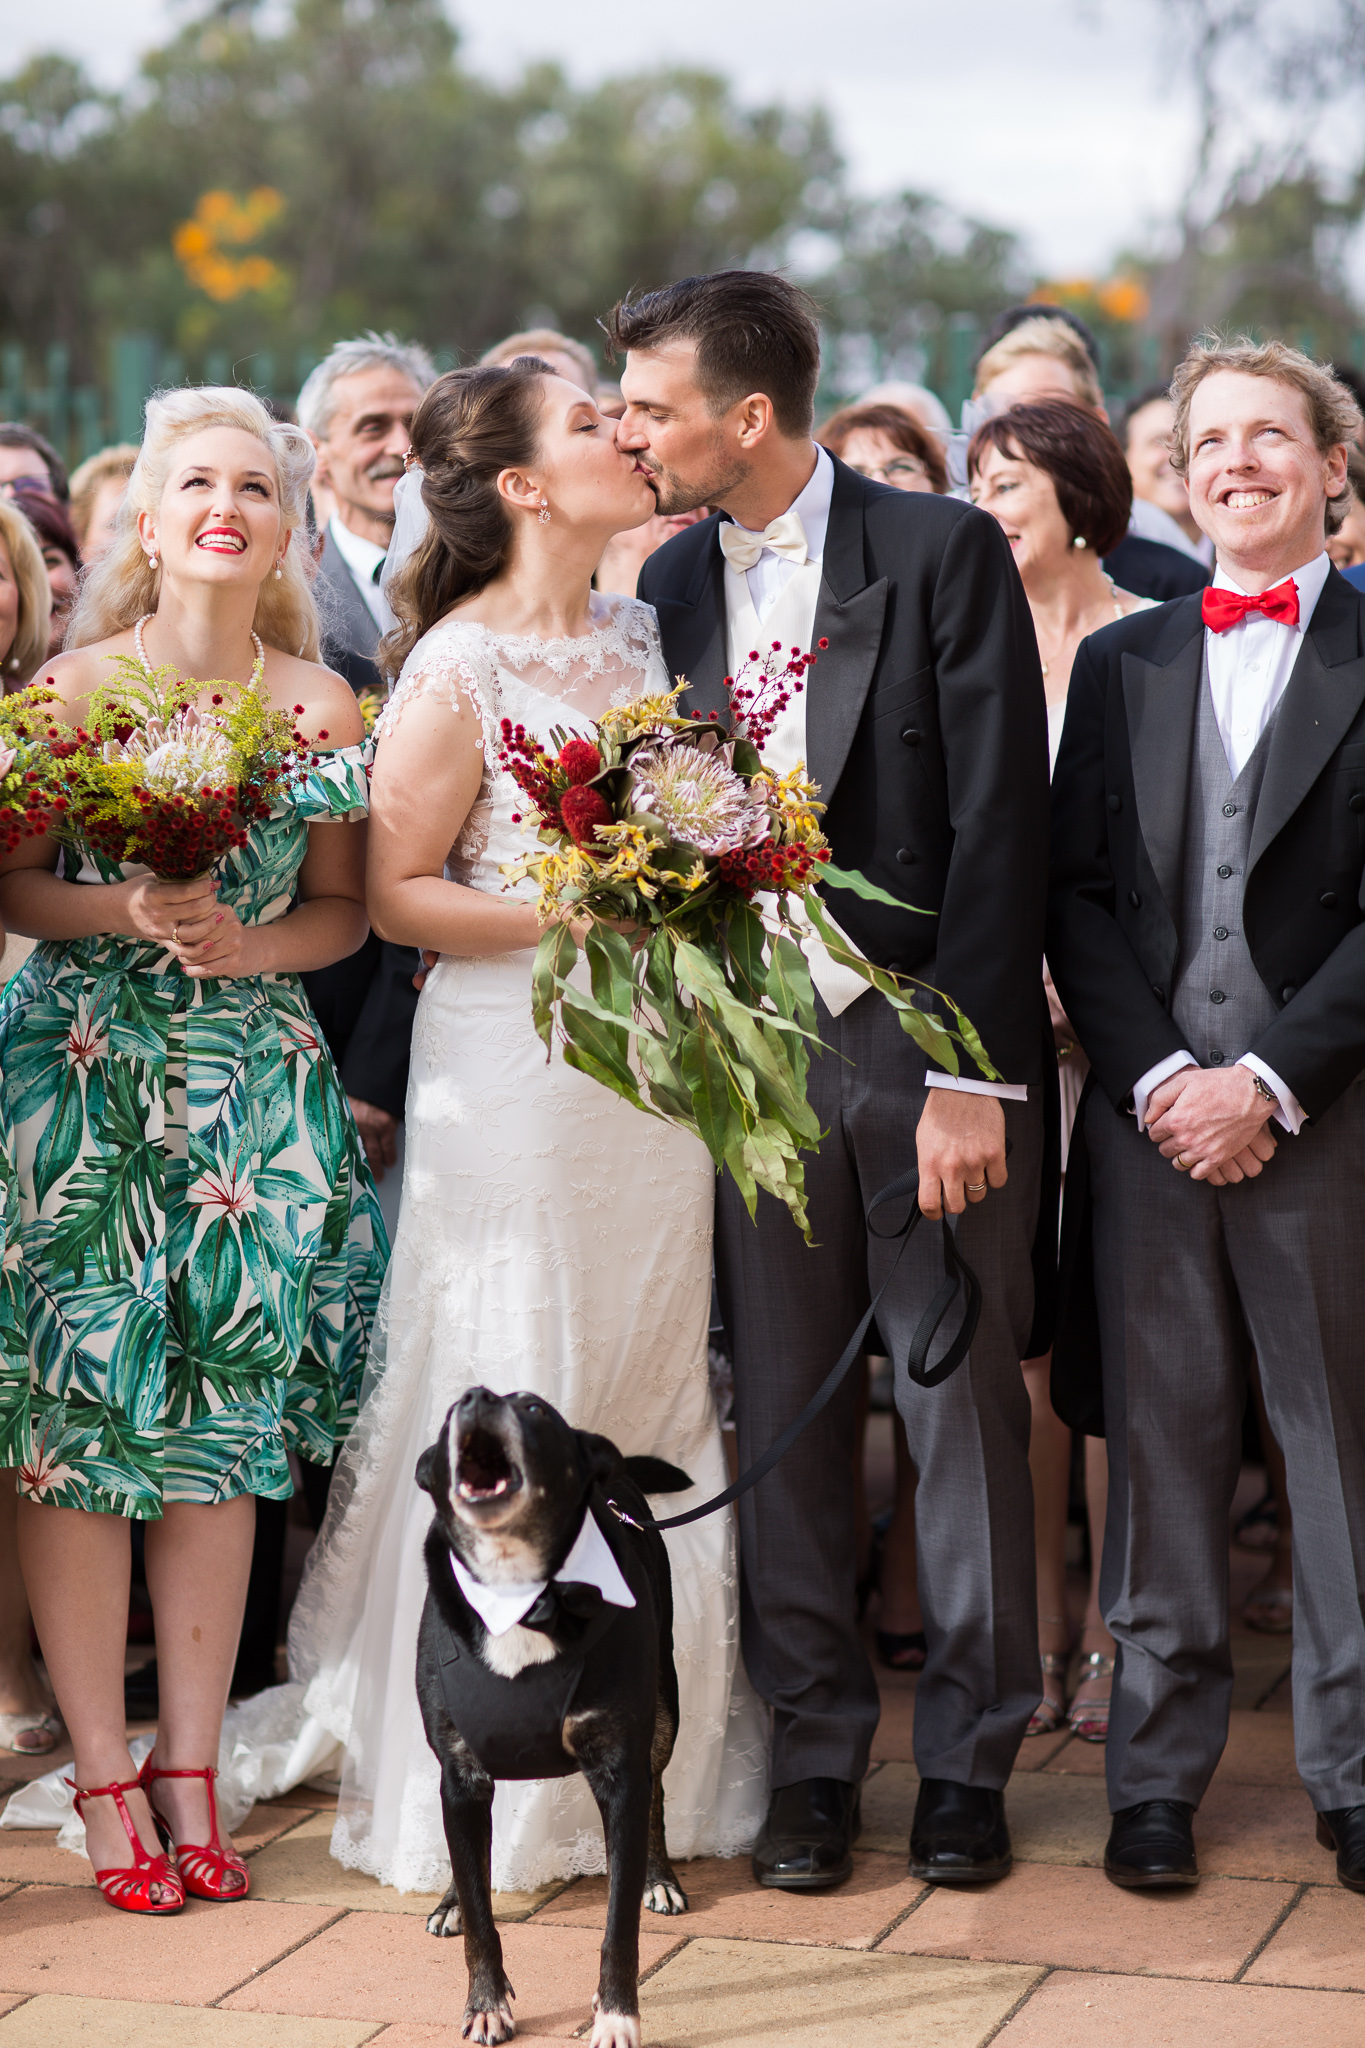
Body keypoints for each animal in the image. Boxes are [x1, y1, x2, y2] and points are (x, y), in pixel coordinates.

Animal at [413, 1384, 695, 2039]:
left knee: (658, 1788)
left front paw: (616, 2018)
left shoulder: (619, 1771)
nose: (475, 1396)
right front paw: (486, 2004)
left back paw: (661, 1877)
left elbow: (619, 1925)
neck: (520, 1588)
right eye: (449, 1415)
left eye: (535, 1409)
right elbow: (480, 1909)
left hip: (664, 1707)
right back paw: (448, 1901)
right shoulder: (461, 1773)